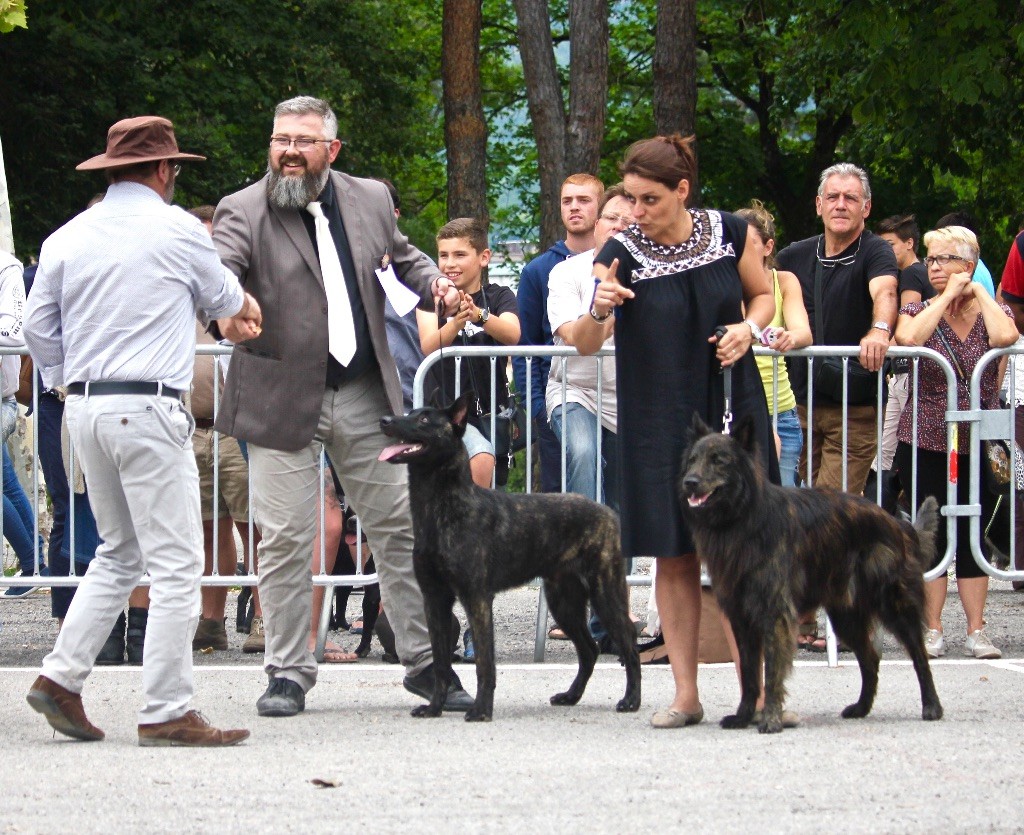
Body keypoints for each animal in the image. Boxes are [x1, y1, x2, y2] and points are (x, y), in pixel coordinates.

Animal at [380, 395, 638, 721]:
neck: (442, 509)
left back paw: (631, 700)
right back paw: (571, 696)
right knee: (589, 650)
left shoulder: (477, 599)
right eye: (411, 412)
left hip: (604, 594)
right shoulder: (434, 600)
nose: (384, 420)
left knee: (629, 644)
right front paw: (435, 707)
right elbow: (440, 663)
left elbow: (484, 664)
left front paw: (481, 710)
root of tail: (609, 514)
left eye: (425, 419)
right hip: (564, 602)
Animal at [679, 413, 942, 733]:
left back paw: (932, 706)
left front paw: (770, 718)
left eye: (719, 461)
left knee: (919, 656)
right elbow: (751, 675)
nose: (689, 482)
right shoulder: (742, 619)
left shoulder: (774, 616)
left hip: (893, 607)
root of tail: (898, 525)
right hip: (846, 617)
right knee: (870, 659)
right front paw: (743, 716)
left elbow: (772, 673)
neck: (743, 518)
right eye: (693, 460)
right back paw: (861, 707)